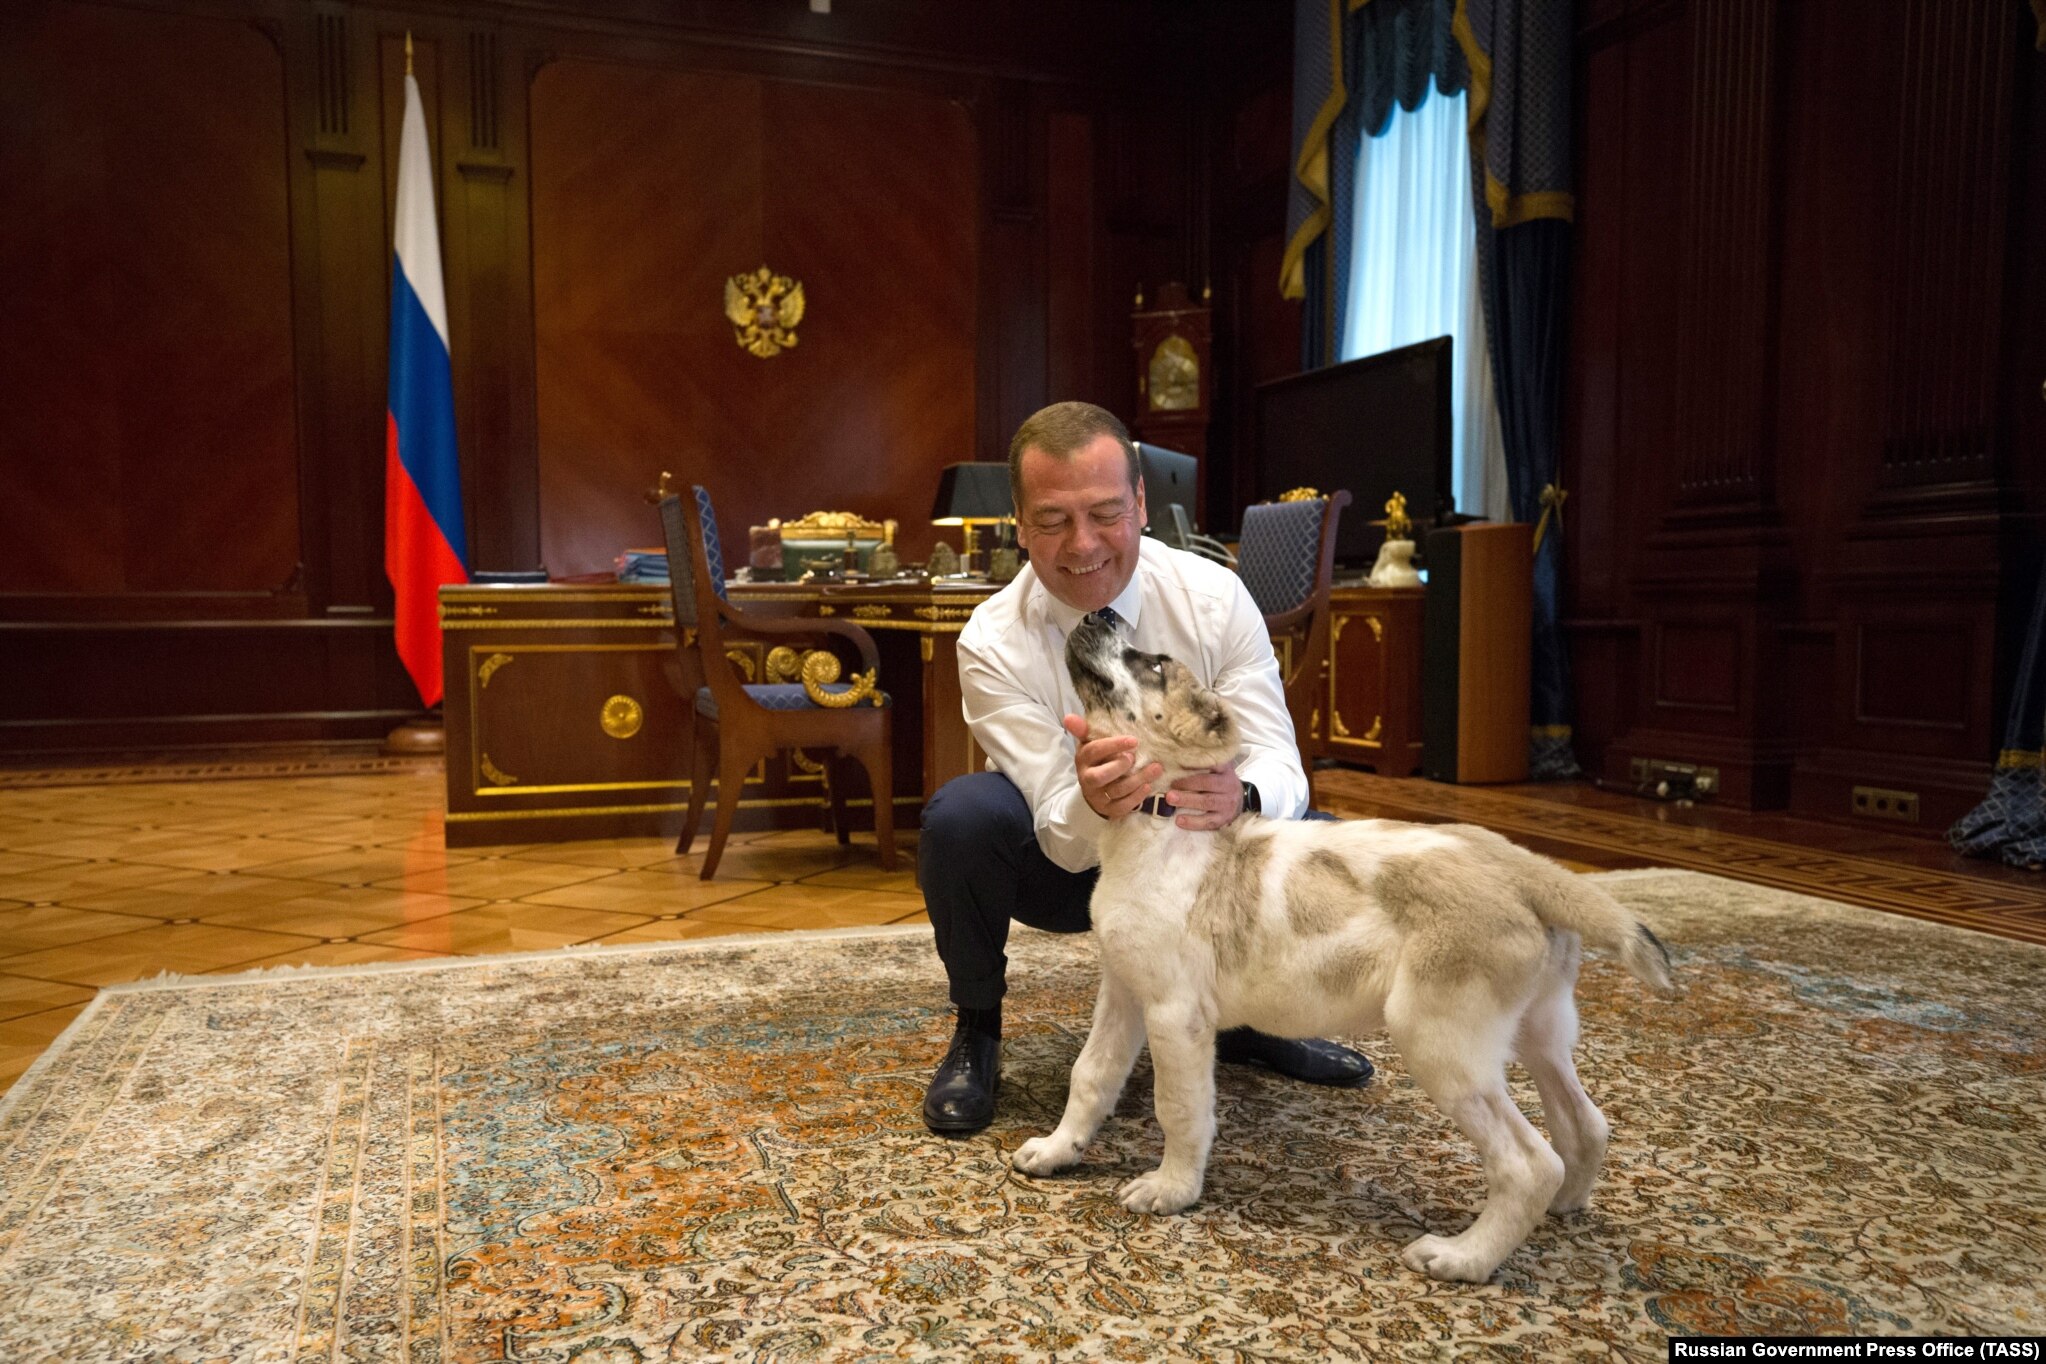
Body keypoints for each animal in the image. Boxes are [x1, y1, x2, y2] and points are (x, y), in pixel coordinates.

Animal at [1010, 613, 1677, 1284]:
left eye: (1153, 664)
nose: (1097, 615)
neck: (1159, 822)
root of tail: (1528, 871)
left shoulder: (1175, 1016)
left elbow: (1179, 1106)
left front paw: (1171, 1191)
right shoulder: (1123, 992)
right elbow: (1091, 1075)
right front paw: (1058, 1151)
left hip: (1440, 1041)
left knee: (1529, 1163)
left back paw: (1463, 1257)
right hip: (1540, 1032)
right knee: (1585, 1127)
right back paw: (1563, 1208)